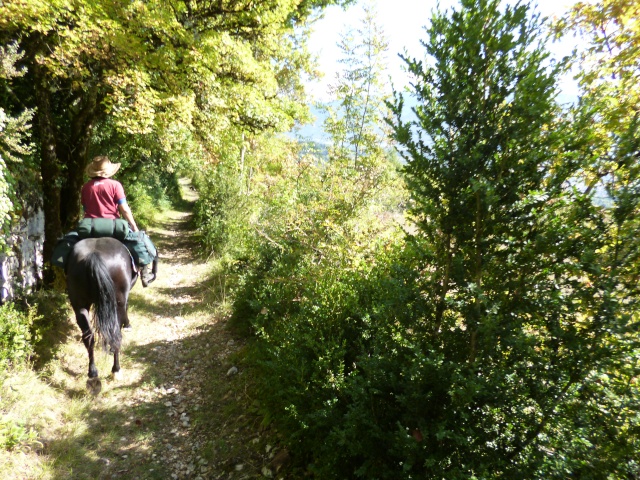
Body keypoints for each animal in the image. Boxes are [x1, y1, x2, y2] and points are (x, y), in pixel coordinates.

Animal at [66, 236, 138, 394]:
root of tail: (94, 256)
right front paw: (128, 325)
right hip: (116, 302)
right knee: (116, 335)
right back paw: (116, 370)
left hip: (79, 304)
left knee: (89, 337)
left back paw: (93, 375)